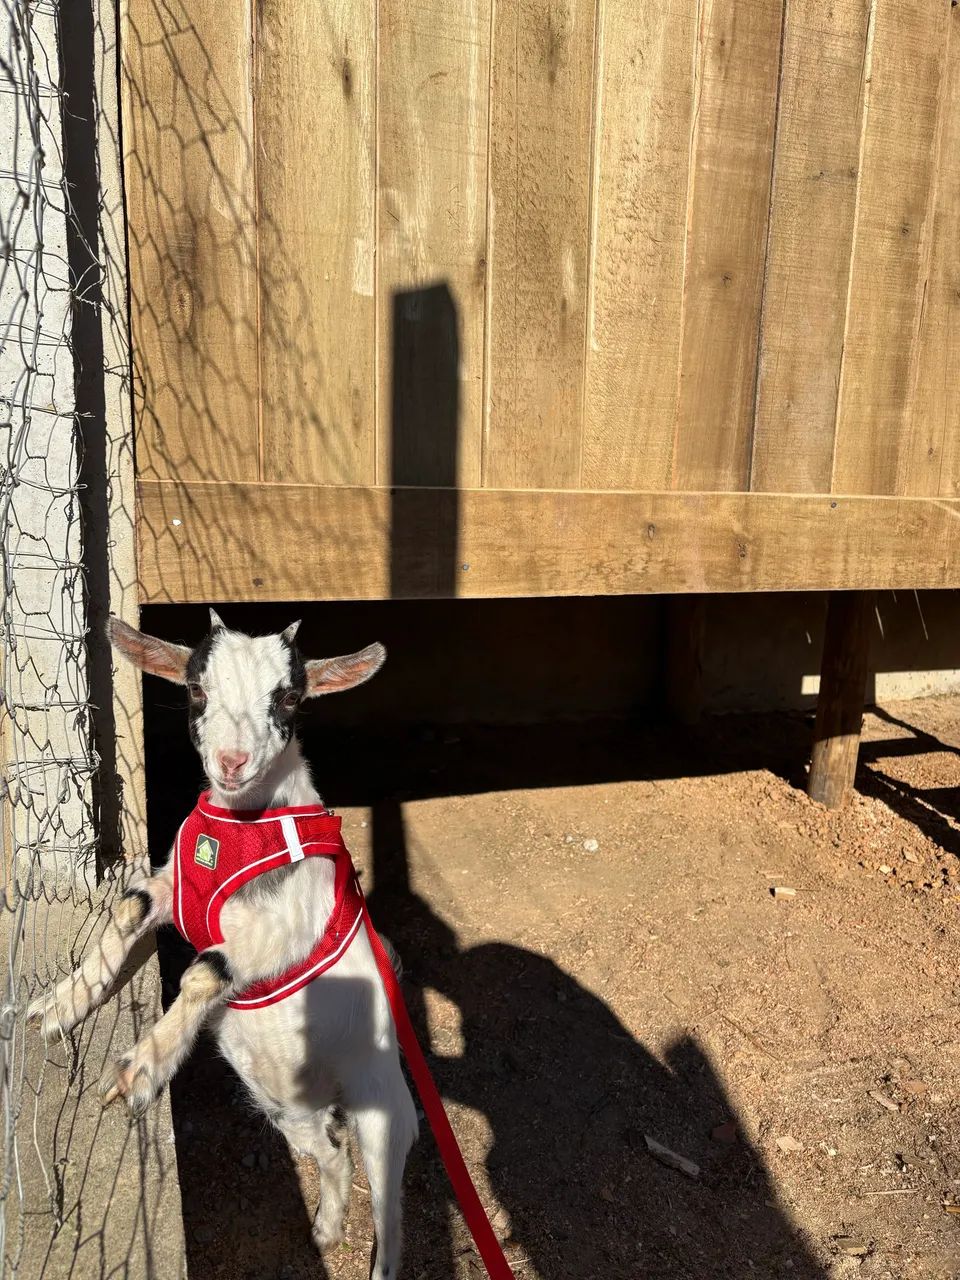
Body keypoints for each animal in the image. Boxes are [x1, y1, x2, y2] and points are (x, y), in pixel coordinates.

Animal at [28, 610, 418, 1279]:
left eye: (289, 697)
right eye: (195, 689)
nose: (232, 762)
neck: (239, 827)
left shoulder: (282, 929)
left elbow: (205, 970)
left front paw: (140, 1068)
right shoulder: (174, 885)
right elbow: (127, 908)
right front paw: (60, 1006)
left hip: (385, 1110)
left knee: (389, 1216)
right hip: (279, 1100)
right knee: (331, 1148)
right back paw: (325, 1226)